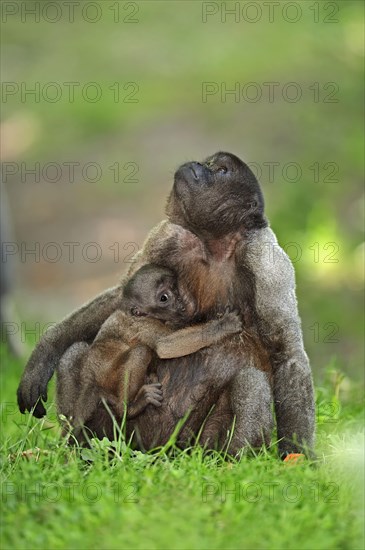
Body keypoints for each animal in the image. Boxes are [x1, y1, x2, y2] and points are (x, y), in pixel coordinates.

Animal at [55, 266, 240, 442]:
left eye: (175, 289)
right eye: (164, 298)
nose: (180, 301)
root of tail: (89, 376)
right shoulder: (145, 324)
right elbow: (164, 347)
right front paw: (221, 327)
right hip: (109, 376)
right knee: (141, 352)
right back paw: (129, 408)